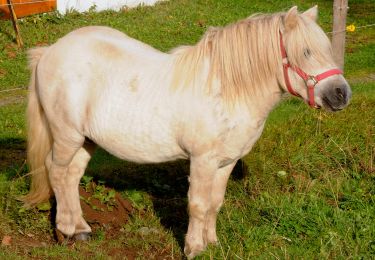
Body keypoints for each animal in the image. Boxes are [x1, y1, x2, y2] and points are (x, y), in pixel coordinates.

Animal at [25, 5, 352, 258]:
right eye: (305, 52)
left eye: (326, 49)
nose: (341, 94)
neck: (227, 90)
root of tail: (49, 51)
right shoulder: (202, 160)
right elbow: (197, 204)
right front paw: (194, 248)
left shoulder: (225, 162)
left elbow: (214, 204)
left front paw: (213, 244)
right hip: (66, 135)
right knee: (56, 171)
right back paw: (65, 230)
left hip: (86, 140)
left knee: (71, 176)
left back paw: (81, 228)